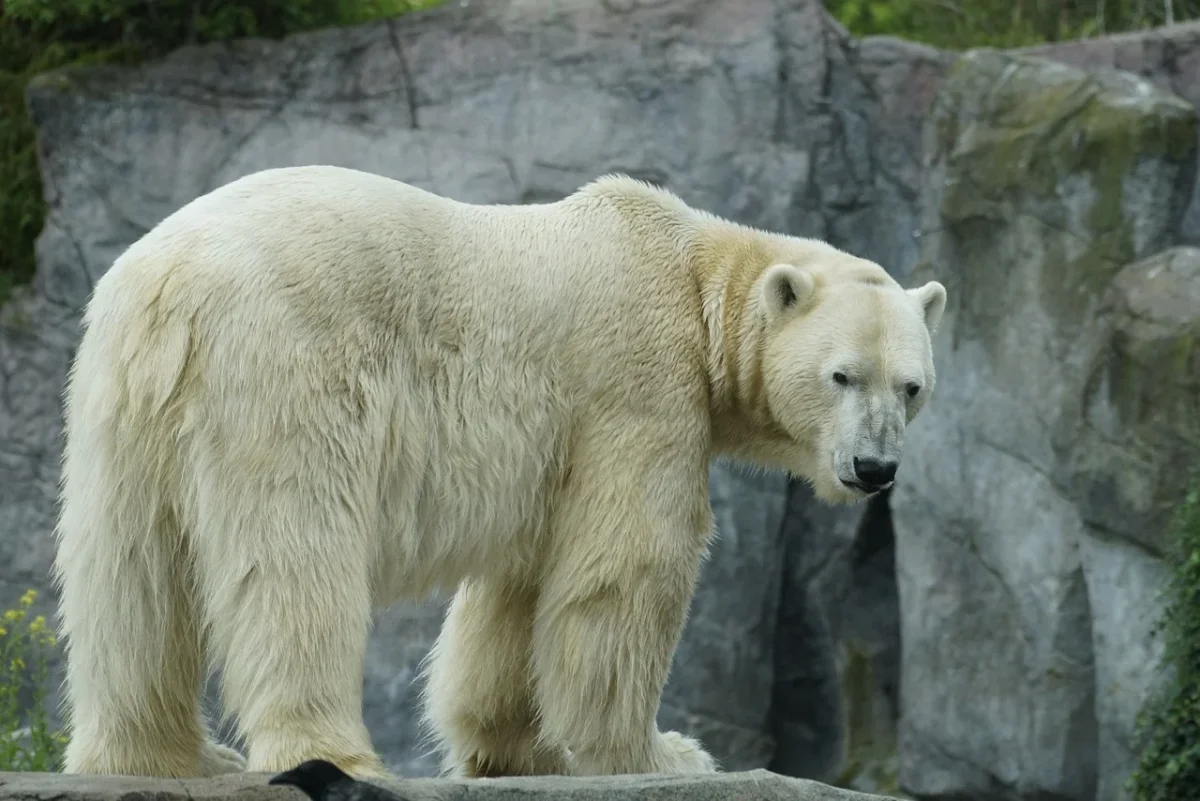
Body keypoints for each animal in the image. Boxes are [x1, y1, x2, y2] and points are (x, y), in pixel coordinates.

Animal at [51, 165, 945, 777]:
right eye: (841, 375)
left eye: (911, 385)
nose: (874, 467)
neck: (692, 273)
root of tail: (172, 283)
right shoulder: (638, 385)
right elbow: (628, 568)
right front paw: (666, 751)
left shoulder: (553, 446)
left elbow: (520, 589)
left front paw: (510, 744)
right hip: (283, 367)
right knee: (294, 555)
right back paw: (328, 754)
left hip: (121, 400)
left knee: (128, 575)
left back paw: (164, 754)